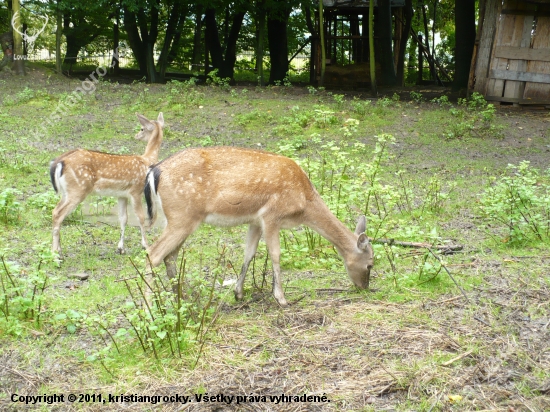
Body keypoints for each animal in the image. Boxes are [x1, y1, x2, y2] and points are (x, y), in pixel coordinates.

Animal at [50, 112, 164, 254]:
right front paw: (146, 246)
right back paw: (55, 252)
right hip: (78, 189)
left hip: (67, 191)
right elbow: (141, 218)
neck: (147, 160)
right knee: (58, 213)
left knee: (55, 211)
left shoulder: (122, 195)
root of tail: (60, 161)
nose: (136, 135)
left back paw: (58, 249)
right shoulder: (136, 191)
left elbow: (123, 219)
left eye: (142, 129)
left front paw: (120, 248)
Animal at [143, 147, 376, 306]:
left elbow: (249, 253)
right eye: (370, 265)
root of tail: (154, 172)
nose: (364, 287)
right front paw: (281, 298)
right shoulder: (272, 215)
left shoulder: (255, 221)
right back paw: (151, 307)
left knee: (170, 256)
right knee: (153, 254)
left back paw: (185, 298)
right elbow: (275, 254)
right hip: (182, 217)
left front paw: (238, 293)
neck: (304, 202)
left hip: (181, 219)